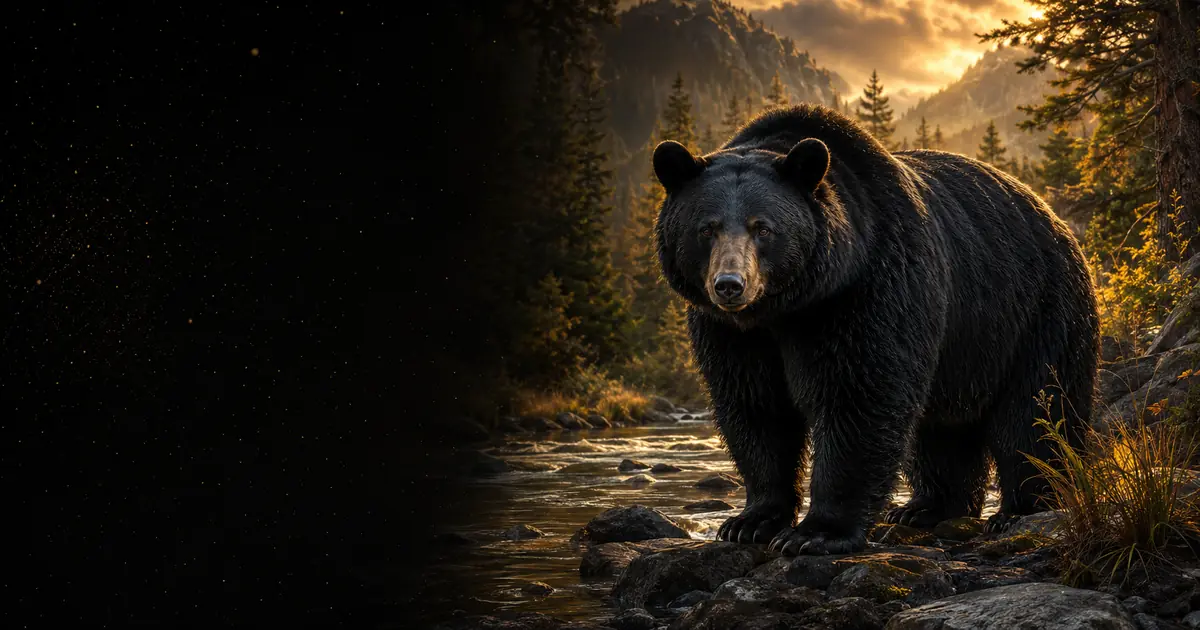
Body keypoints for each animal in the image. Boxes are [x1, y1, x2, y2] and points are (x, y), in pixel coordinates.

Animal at [651, 104, 1099, 555]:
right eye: (706, 228)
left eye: (763, 228)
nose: (730, 284)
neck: (786, 308)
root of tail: (1054, 216)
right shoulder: (732, 334)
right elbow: (756, 406)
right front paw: (750, 521)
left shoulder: (869, 289)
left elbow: (858, 395)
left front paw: (816, 532)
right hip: (968, 349)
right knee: (942, 431)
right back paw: (925, 509)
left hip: (1035, 313)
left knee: (1035, 411)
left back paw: (1023, 508)